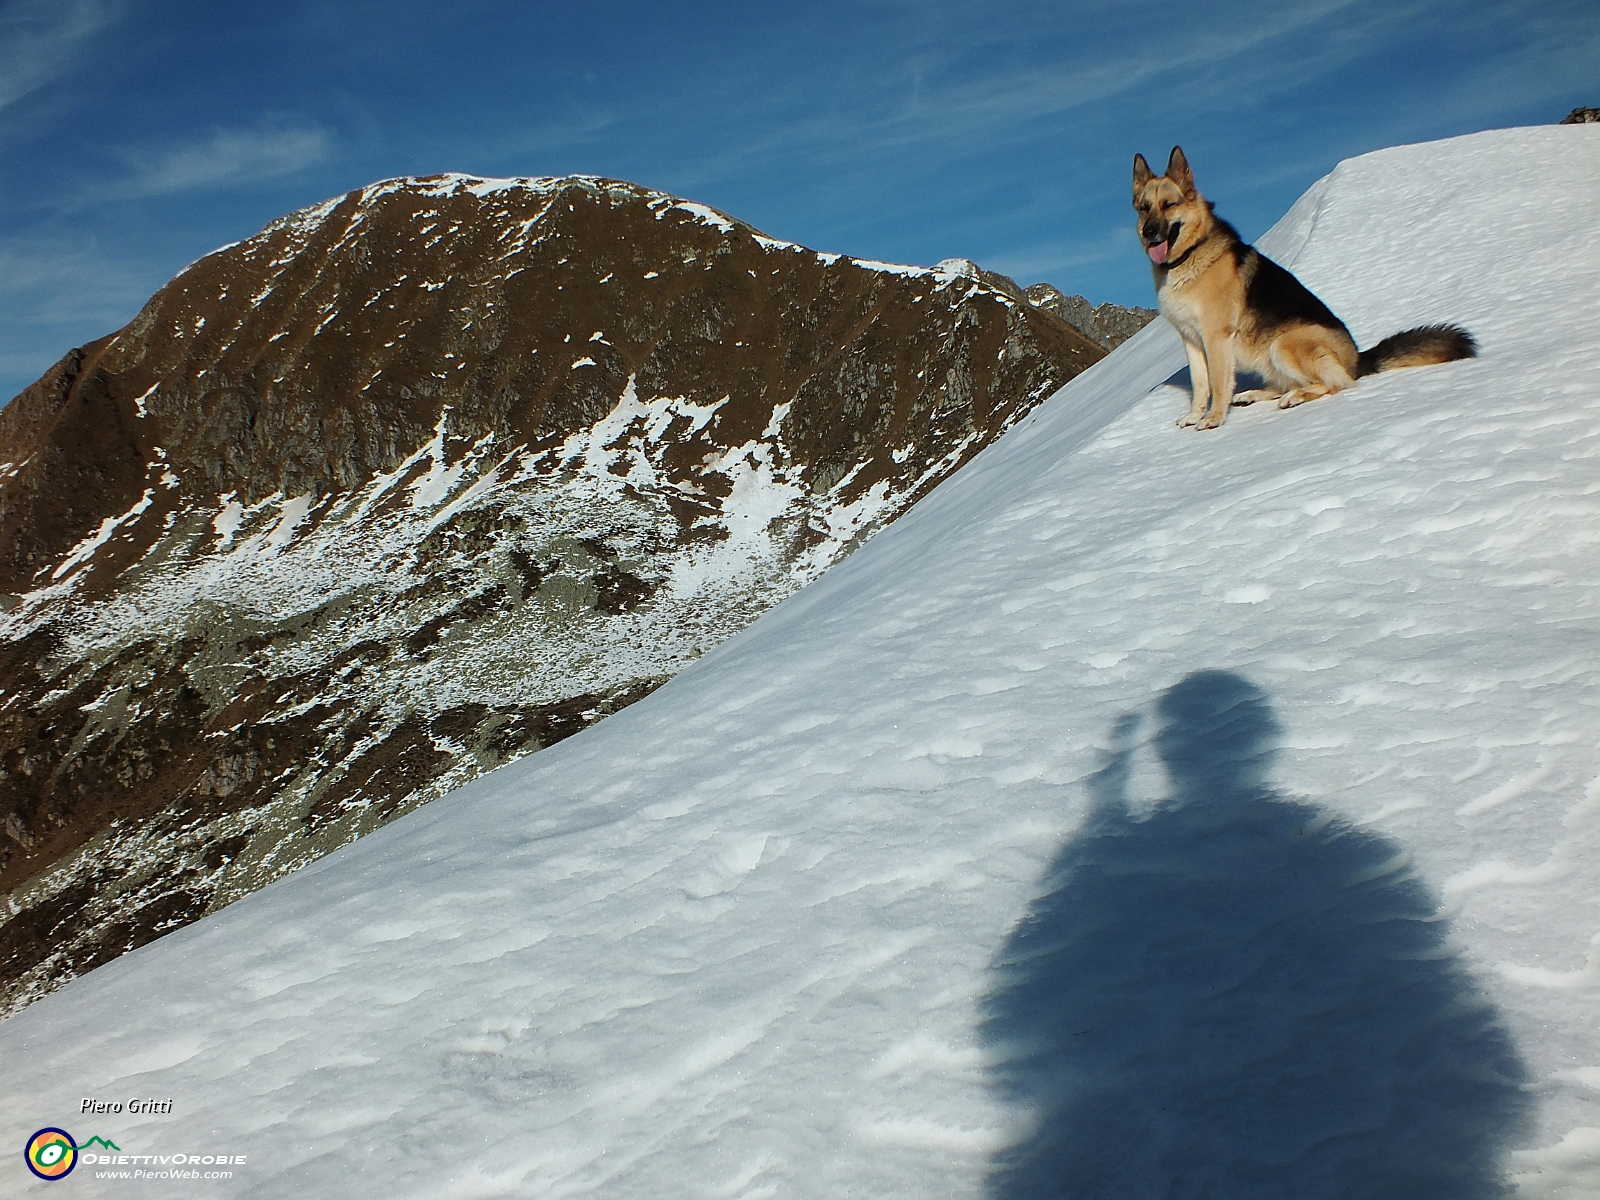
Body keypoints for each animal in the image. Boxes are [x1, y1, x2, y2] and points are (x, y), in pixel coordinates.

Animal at [1132, 148, 1465, 432]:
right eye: (1144, 208)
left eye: (1169, 205)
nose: (1149, 233)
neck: (1190, 254)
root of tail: (1358, 359)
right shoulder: (1191, 339)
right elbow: (1200, 384)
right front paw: (1195, 415)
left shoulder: (1216, 337)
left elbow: (1217, 382)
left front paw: (1214, 418)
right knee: (1291, 383)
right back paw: (1255, 395)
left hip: (1284, 344)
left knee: (1338, 383)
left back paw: (1295, 397)